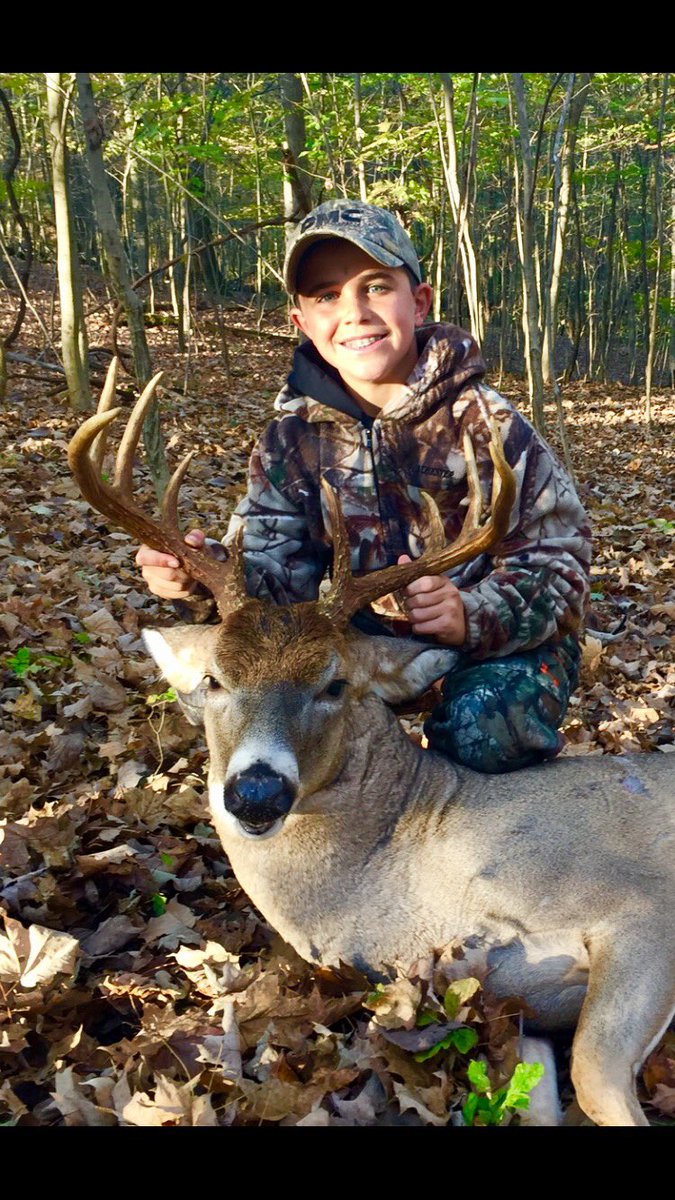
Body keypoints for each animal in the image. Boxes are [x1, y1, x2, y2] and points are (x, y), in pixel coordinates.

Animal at [68, 361, 675, 1127]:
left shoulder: (642, 906)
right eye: (213, 679)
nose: (255, 791)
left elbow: (594, 1077)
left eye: (334, 683)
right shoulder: (525, 1012)